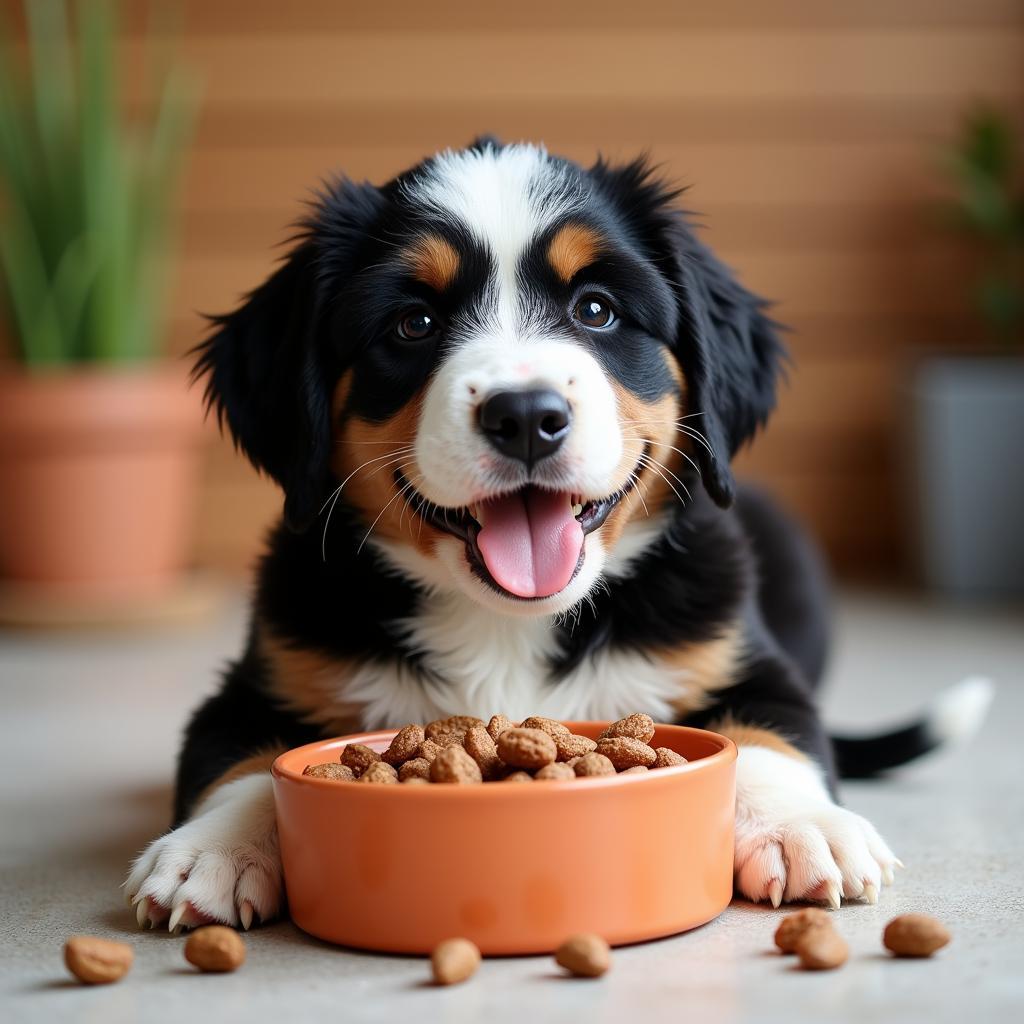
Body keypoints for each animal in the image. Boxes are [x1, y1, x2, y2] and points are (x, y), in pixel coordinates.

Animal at [123, 140, 987, 933]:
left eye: (596, 310)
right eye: (413, 322)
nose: (526, 416)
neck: (508, 628)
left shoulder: (743, 662)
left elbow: (770, 735)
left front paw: (799, 826)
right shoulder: (262, 678)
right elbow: (242, 762)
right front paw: (214, 850)